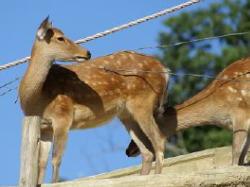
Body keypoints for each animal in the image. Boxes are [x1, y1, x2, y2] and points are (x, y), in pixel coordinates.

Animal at [18, 17, 168, 183]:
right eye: (60, 38)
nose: (87, 52)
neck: (36, 99)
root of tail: (165, 70)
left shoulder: (63, 116)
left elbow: (56, 159)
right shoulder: (45, 127)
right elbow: (41, 164)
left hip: (142, 101)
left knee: (159, 140)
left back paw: (158, 176)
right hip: (126, 114)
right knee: (147, 152)